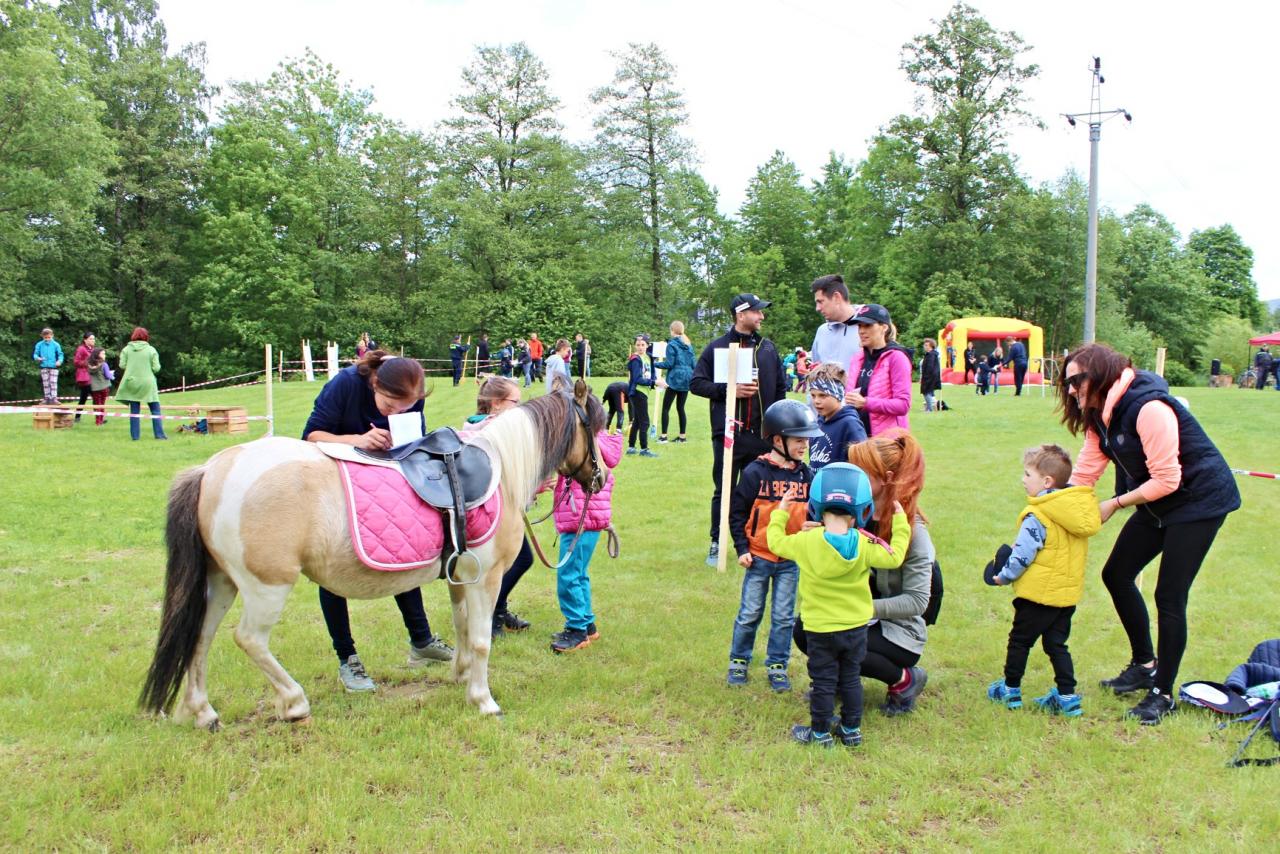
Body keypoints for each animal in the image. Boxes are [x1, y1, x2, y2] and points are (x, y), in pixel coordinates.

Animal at [140, 379, 606, 730]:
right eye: (596, 429)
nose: (600, 478)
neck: (500, 470)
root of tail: (212, 470)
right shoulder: (487, 578)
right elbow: (480, 638)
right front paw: (483, 699)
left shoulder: (462, 577)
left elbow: (460, 628)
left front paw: (459, 675)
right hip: (266, 586)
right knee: (249, 639)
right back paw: (293, 702)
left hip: (220, 583)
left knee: (201, 637)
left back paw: (203, 712)